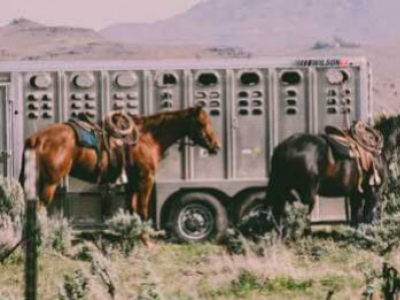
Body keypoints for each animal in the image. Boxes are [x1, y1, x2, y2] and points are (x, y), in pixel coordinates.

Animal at [18, 105, 220, 220]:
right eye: (202, 123)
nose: (217, 146)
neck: (147, 138)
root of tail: (36, 138)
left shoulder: (132, 182)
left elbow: (132, 208)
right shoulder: (146, 179)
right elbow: (143, 209)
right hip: (49, 184)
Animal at [264, 115, 400, 227]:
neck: (380, 153)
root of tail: (282, 147)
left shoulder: (355, 194)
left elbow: (356, 220)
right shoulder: (373, 192)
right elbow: (368, 218)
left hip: (283, 190)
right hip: (306, 195)